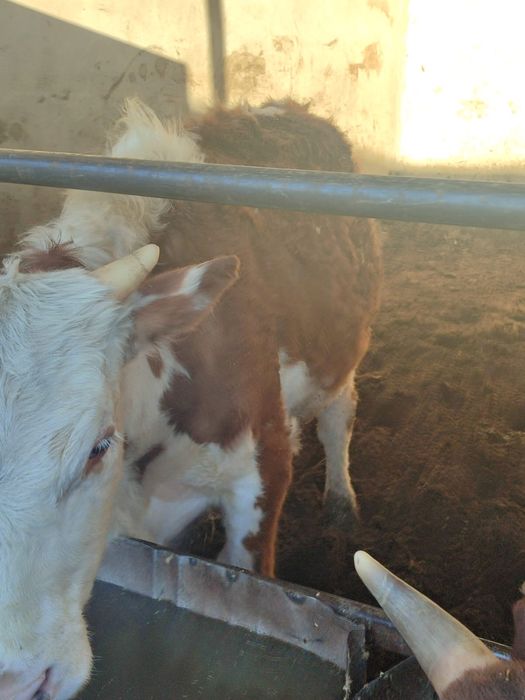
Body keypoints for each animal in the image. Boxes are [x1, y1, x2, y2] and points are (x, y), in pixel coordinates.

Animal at [0, 99, 381, 699]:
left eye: (98, 446)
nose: (18, 679)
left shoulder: (264, 465)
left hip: (343, 346)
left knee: (338, 415)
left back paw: (342, 501)